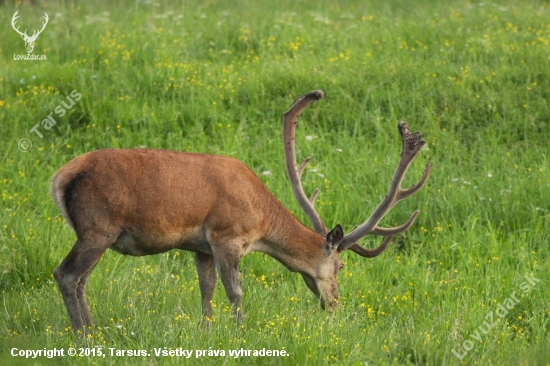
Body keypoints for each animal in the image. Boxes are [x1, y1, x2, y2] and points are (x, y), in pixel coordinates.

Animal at [50, 90, 432, 330]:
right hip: (98, 227)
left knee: (82, 279)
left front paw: (206, 330)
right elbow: (235, 291)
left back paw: (93, 329)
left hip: (96, 234)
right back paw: (83, 335)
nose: (334, 303)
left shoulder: (200, 246)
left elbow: (206, 289)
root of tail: (58, 178)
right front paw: (241, 330)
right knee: (66, 274)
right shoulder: (226, 235)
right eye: (340, 266)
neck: (261, 222)